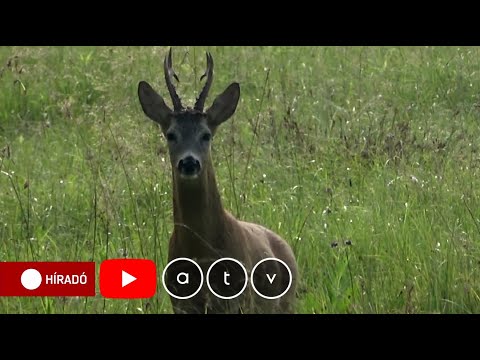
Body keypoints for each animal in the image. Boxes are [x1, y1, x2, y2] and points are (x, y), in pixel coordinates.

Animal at [137, 49, 298, 314]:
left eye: (206, 135)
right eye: (171, 134)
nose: (189, 162)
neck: (201, 254)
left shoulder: (238, 299)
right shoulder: (180, 302)